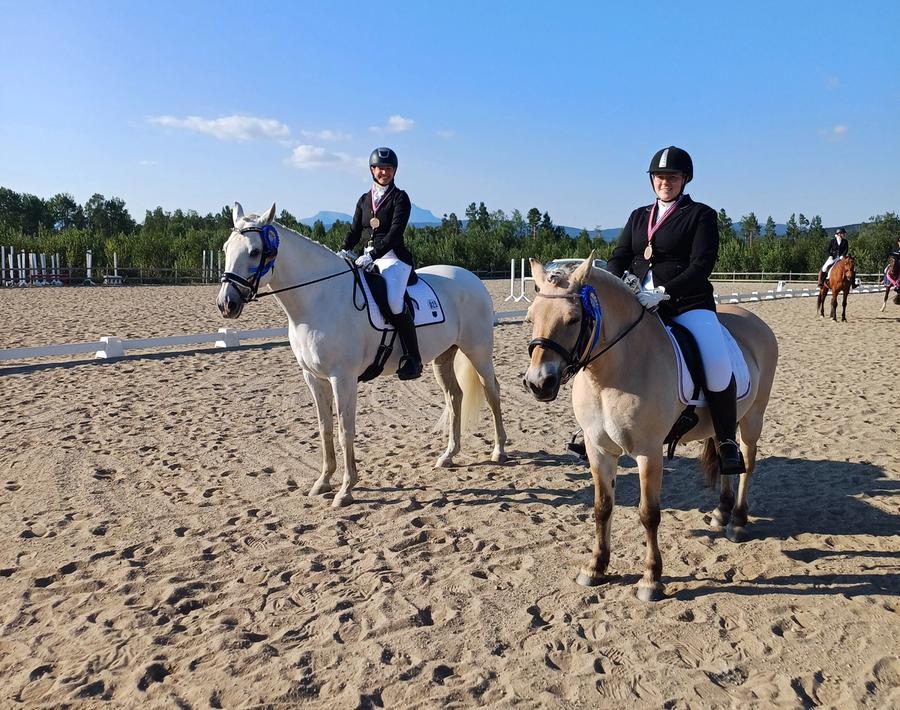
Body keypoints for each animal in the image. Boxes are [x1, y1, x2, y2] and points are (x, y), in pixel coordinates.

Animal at [217, 203, 507, 507]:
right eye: (226, 248)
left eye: (254, 252)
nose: (226, 304)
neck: (319, 299)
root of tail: (471, 278)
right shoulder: (313, 378)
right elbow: (325, 428)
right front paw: (323, 482)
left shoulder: (342, 378)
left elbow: (345, 430)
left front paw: (346, 490)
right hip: (443, 357)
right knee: (454, 397)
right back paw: (449, 455)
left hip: (479, 351)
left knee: (492, 392)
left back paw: (499, 451)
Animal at [523, 255, 778, 601]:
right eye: (529, 318)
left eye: (573, 319)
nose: (539, 383)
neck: (609, 375)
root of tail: (754, 321)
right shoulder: (599, 450)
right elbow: (602, 507)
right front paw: (596, 567)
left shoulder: (649, 453)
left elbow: (649, 514)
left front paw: (651, 579)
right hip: (723, 423)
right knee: (725, 452)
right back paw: (722, 512)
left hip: (753, 418)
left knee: (748, 464)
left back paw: (737, 520)